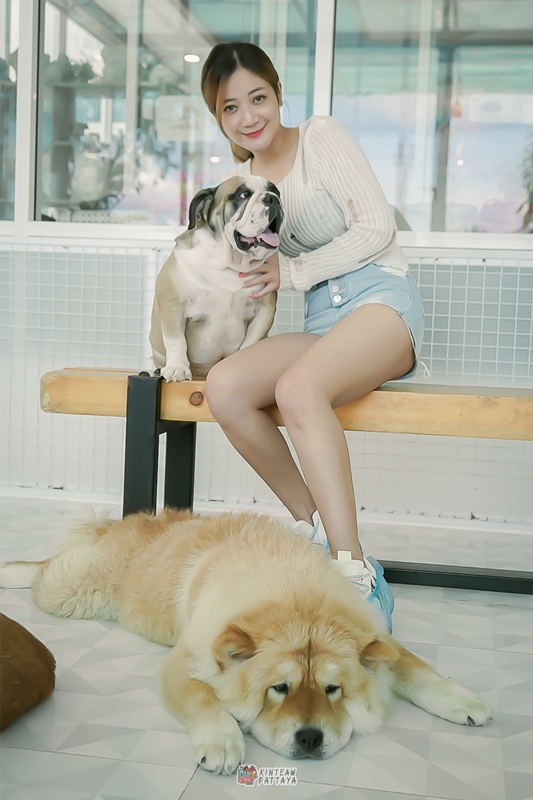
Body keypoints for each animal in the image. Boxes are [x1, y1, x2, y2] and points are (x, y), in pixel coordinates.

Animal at [0, 509, 491, 775]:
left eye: (333, 690)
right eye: (279, 689)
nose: (310, 738)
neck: (296, 597)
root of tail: (136, 522)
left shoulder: (374, 635)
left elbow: (416, 667)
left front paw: (466, 701)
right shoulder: (186, 661)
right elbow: (204, 697)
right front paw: (222, 744)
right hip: (73, 592)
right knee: (46, 566)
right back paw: (11, 570)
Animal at [150, 175, 284, 381]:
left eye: (276, 193)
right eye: (243, 195)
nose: (273, 199)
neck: (229, 263)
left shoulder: (264, 310)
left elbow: (251, 342)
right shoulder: (173, 304)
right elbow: (176, 340)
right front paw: (177, 368)